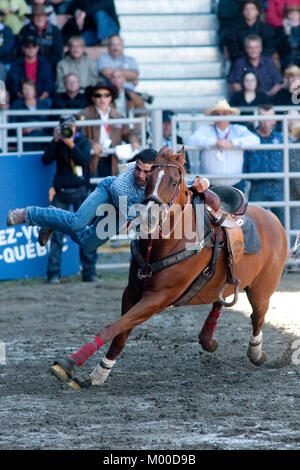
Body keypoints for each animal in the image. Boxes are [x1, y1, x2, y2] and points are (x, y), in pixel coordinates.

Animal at [50, 147, 288, 390]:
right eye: (147, 179)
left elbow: (112, 328)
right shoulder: (132, 291)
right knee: (220, 302)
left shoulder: (158, 297)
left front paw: (69, 363)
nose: (149, 216)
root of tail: (272, 217)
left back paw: (256, 353)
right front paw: (99, 373)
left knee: (257, 317)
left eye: (174, 182)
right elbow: (120, 333)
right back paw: (208, 339)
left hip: (261, 290)